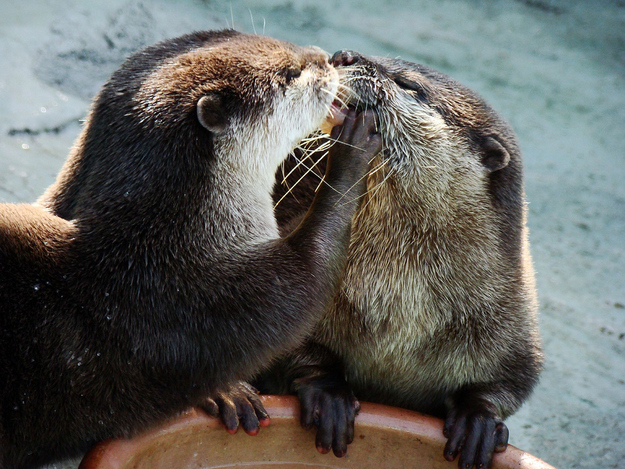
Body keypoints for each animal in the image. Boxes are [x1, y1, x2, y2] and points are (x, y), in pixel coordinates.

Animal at [0, 31, 382, 466]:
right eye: (291, 73)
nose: (326, 58)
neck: (167, 231)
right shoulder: (203, 302)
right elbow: (307, 281)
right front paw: (349, 154)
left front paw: (229, 394)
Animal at [256, 48, 544, 468]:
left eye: (409, 84)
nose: (344, 54)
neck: (400, 308)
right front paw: (330, 396)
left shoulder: (514, 323)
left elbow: (508, 384)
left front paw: (478, 421)